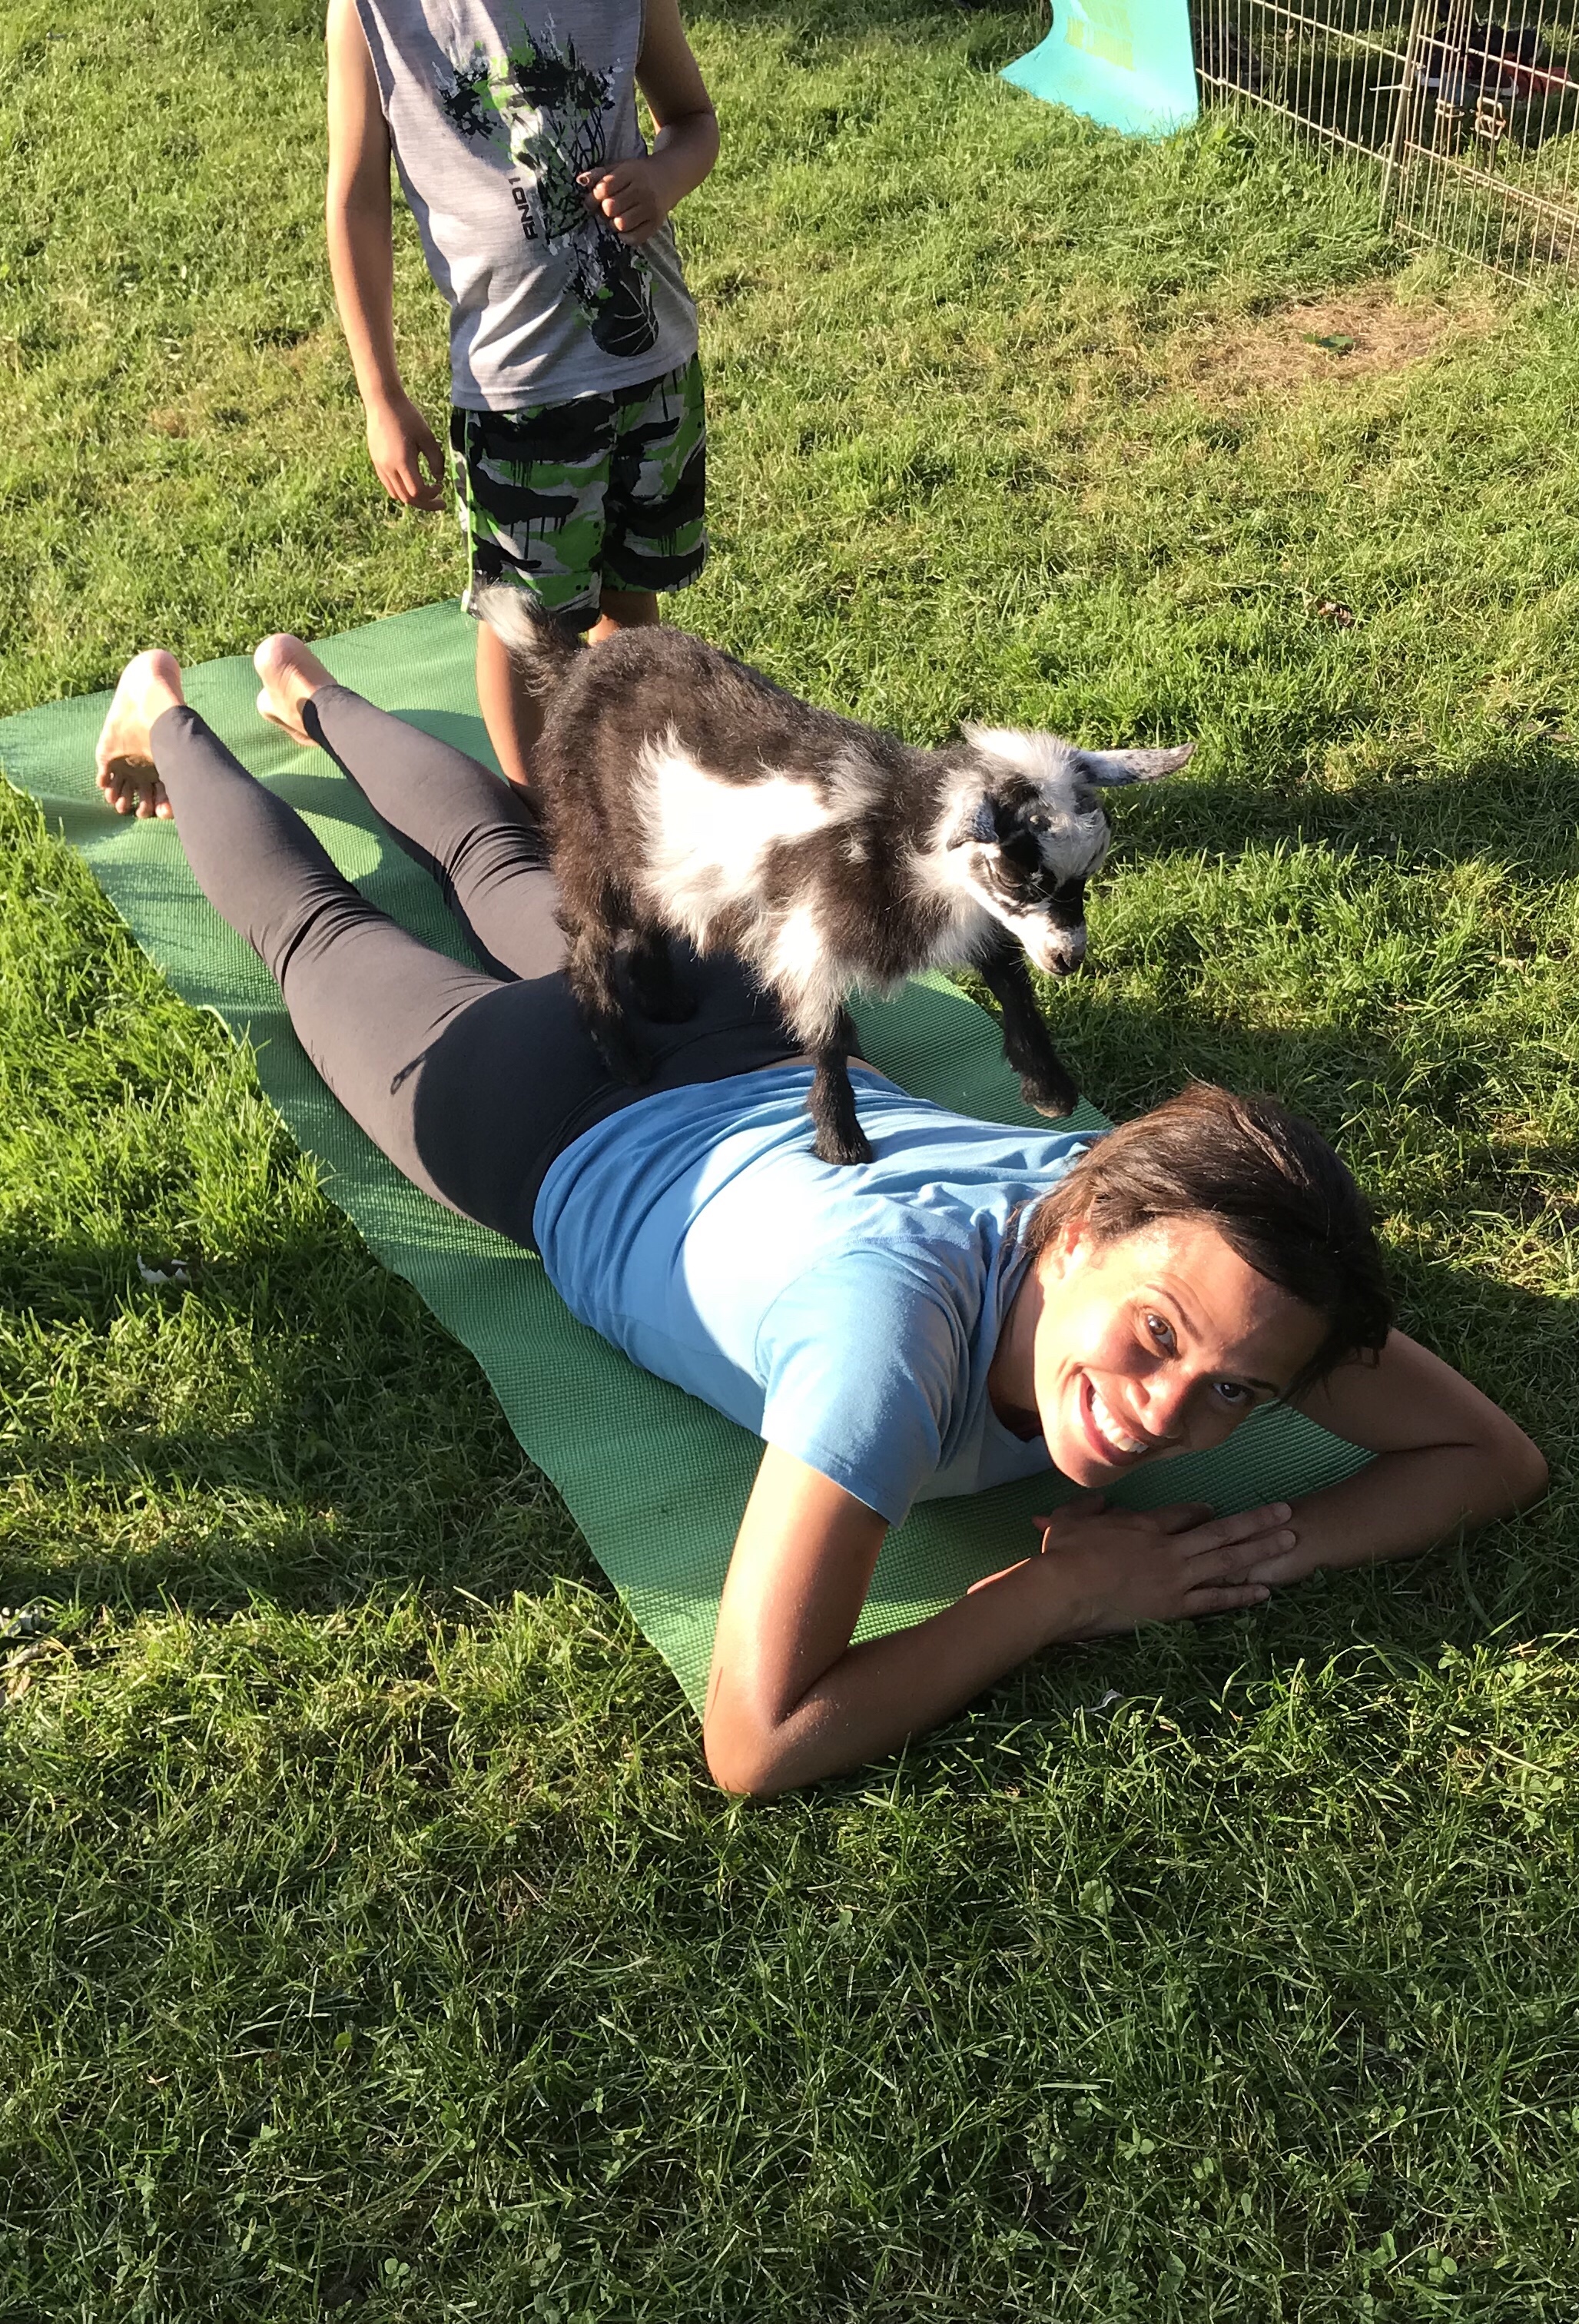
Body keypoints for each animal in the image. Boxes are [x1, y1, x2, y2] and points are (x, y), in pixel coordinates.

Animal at [480, 591, 1193, 1165]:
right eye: (1025, 879)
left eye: (1084, 879)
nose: (1070, 959)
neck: (890, 834)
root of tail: (577, 663)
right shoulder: (806, 936)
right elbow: (828, 1037)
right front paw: (840, 1142)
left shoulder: (968, 913)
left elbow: (1008, 976)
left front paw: (1049, 1089)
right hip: (585, 835)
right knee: (588, 938)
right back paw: (624, 1055)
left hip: (653, 848)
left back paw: (664, 999)